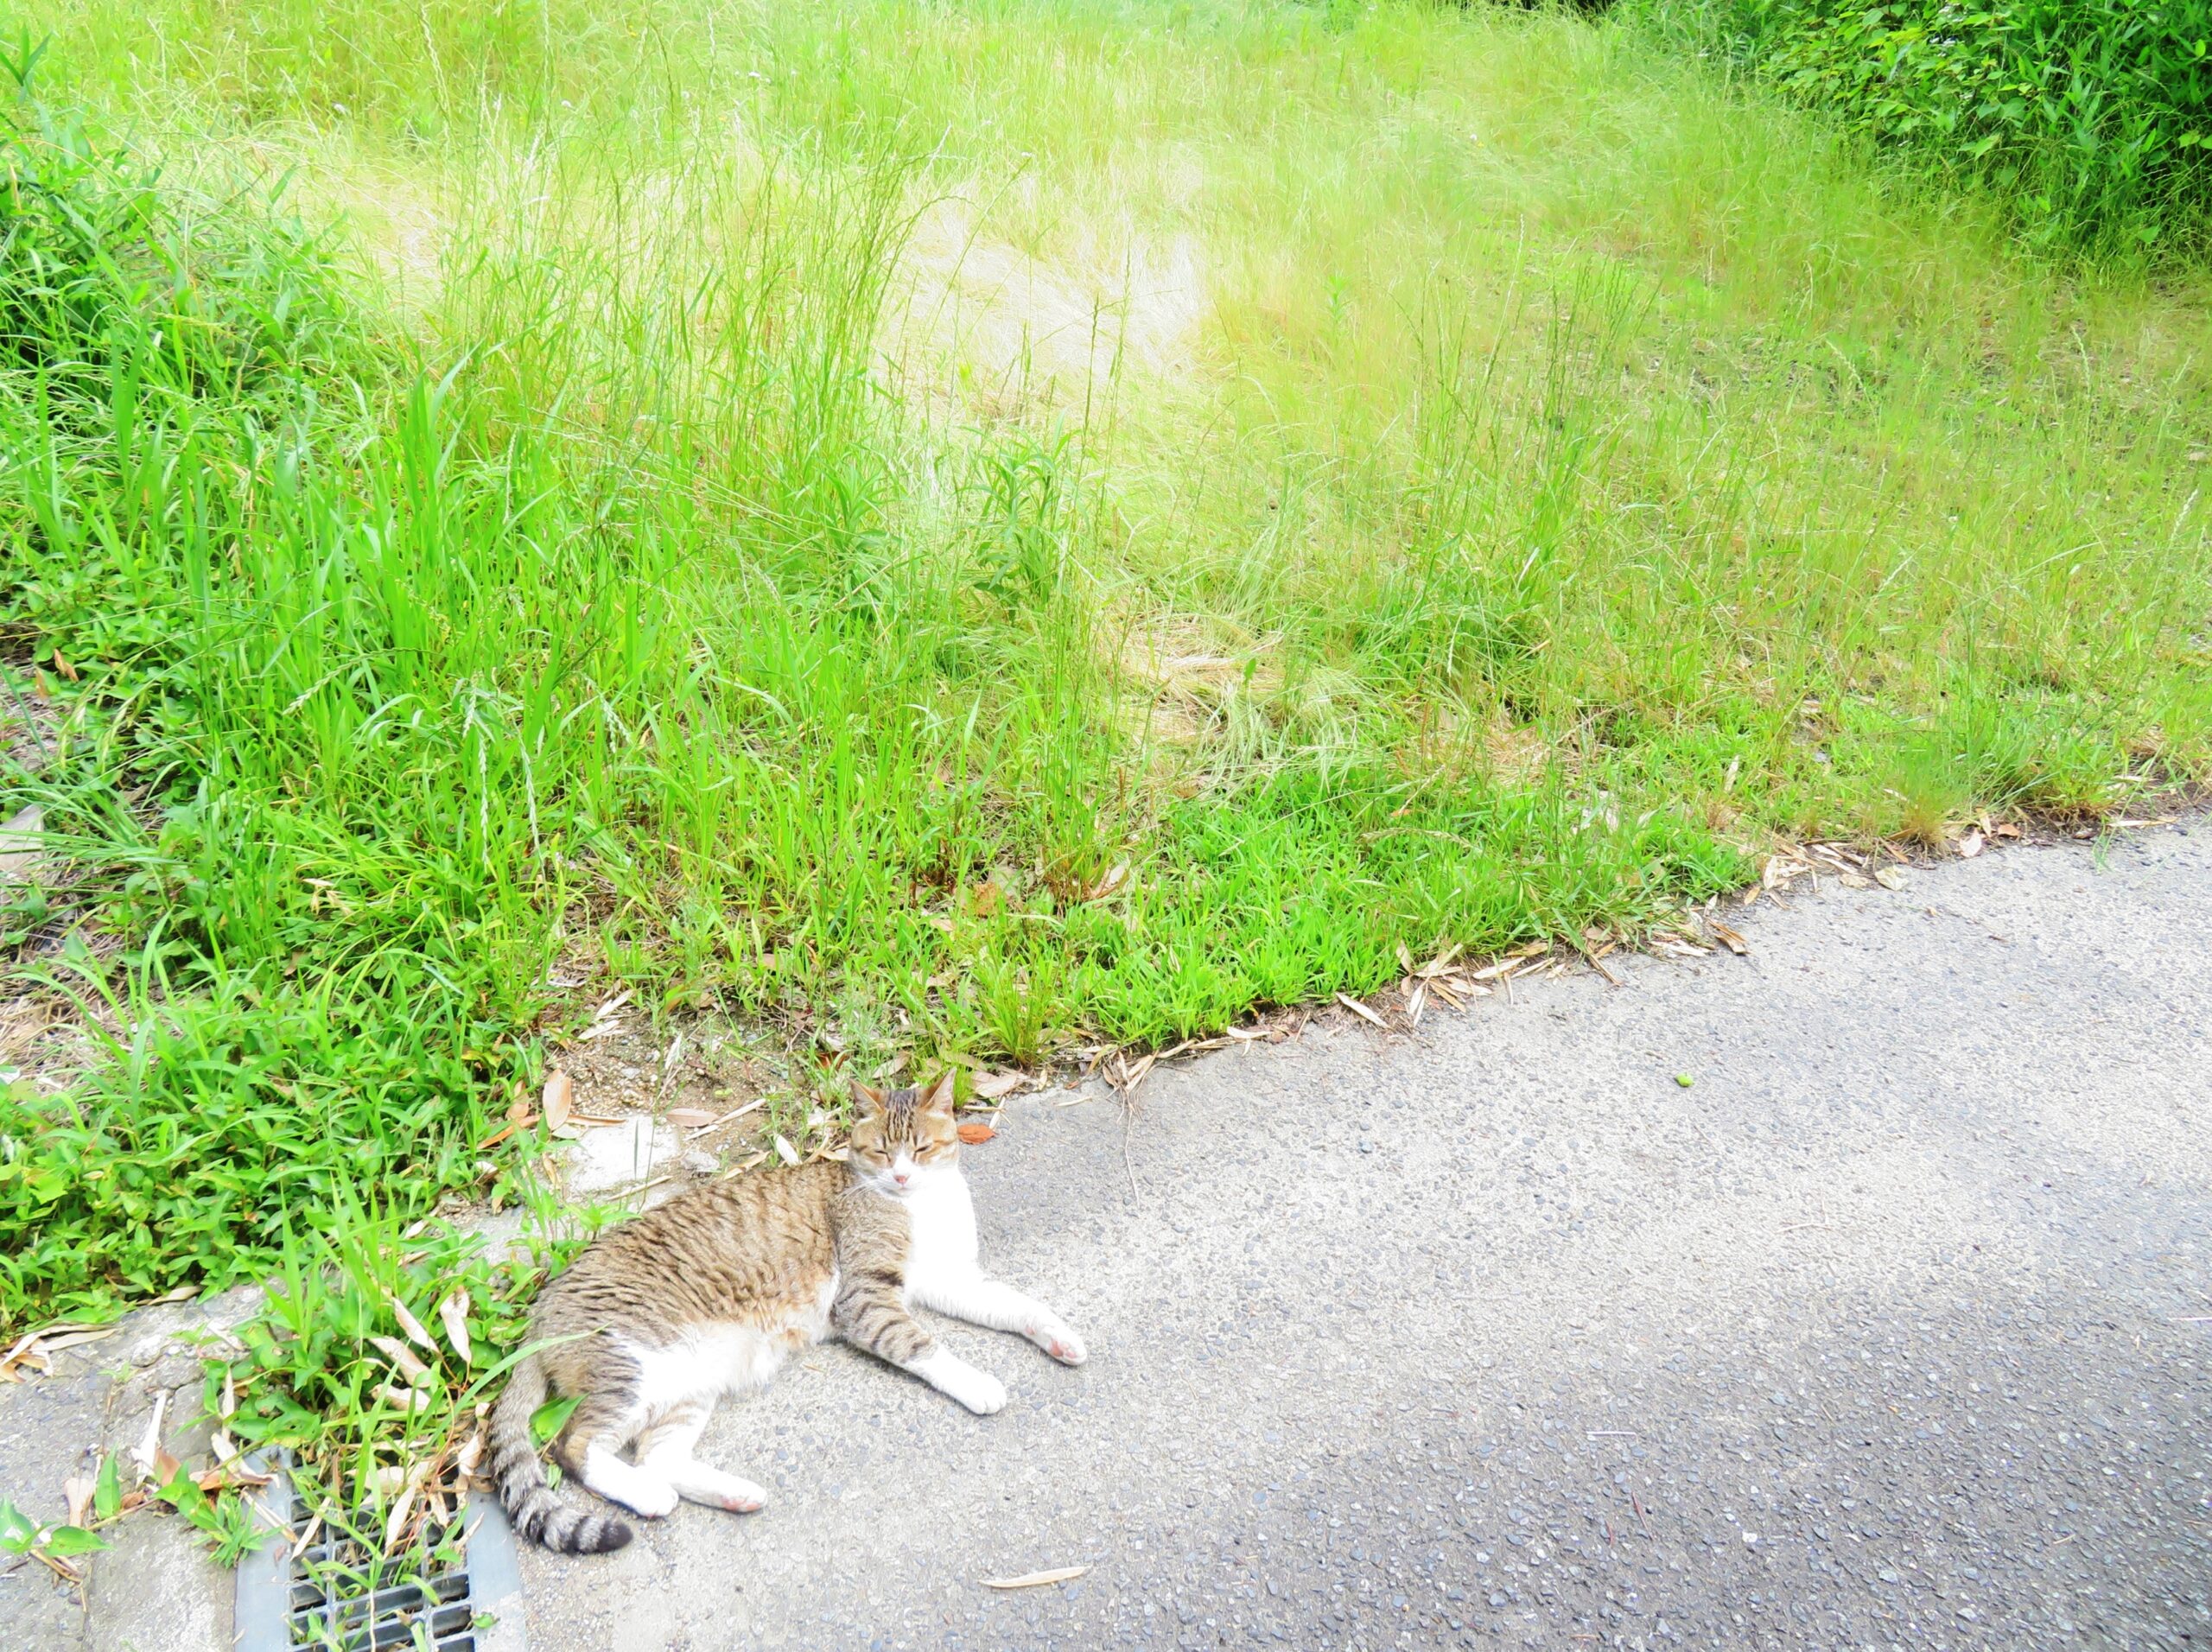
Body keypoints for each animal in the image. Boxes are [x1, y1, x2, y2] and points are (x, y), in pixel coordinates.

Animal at [488, 1074, 1084, 1547]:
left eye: (920, 1148)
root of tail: (541, 1312)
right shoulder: (865, 1298)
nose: (901, 1177)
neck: (919, 1204)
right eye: (880, 1153)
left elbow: (1017, 1305)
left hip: (689, 1382)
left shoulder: (953, 1280)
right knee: (575, 1446)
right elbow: (923, 1345)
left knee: (656, 1456)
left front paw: (1060, 1336)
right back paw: (653, 1497)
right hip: (637, 1364)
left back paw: (733, 1493)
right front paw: (979, 1384)